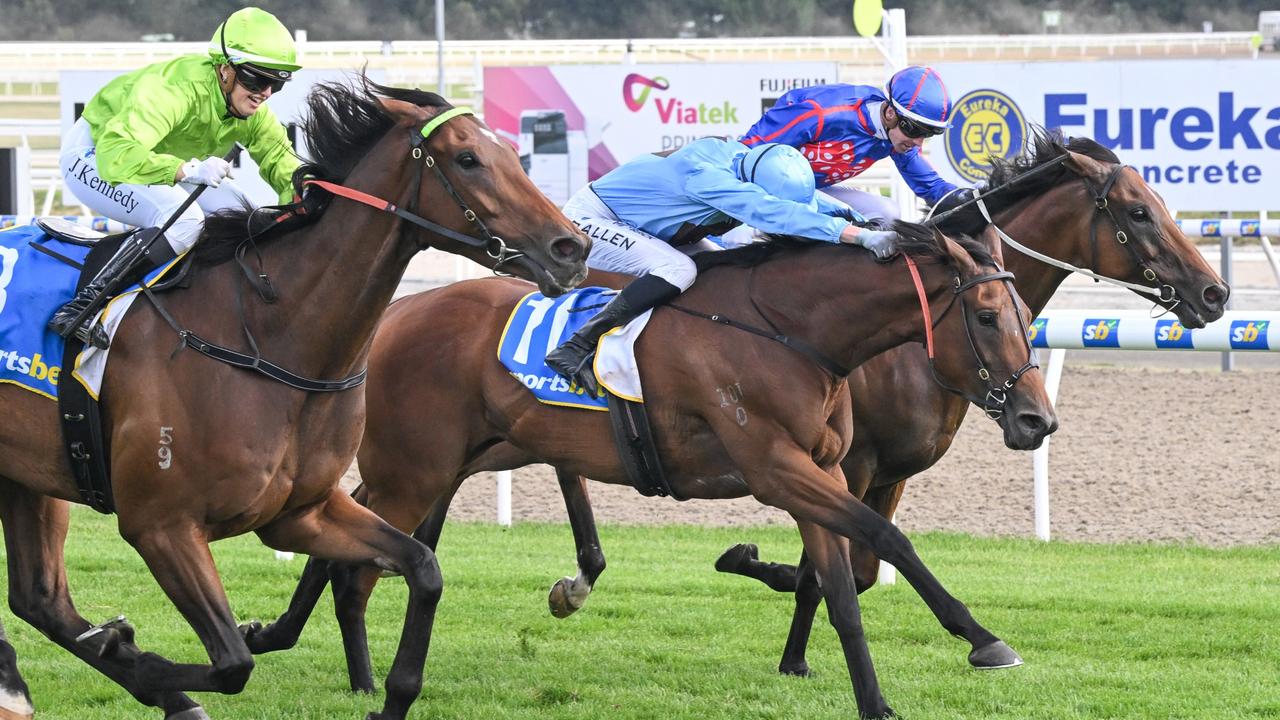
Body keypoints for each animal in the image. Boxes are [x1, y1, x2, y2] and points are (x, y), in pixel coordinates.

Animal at [0, 74, 588, 717]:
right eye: (467, 159)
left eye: (511, 153)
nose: (571, 248)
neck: (266, 338)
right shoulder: (161, 523)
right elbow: (234, 662)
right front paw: (130, 649)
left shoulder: (301, 513)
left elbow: (423, 567)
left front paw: (393, 693)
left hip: (28, 476)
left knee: (40, 599)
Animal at [241, 220, 1059, 717]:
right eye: (987, 316)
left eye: (1027, 318)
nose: (1037, 420)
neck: (789, 331)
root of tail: (391, 320)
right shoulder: (778, 468)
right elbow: (886, 542)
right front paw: (983, 639)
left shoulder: (821, 472)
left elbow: (841, 592)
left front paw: (874, 702)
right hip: (412, 470)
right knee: (354, 559)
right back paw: (331, 663)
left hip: (445, 465)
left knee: (352, 549)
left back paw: (327, 660)